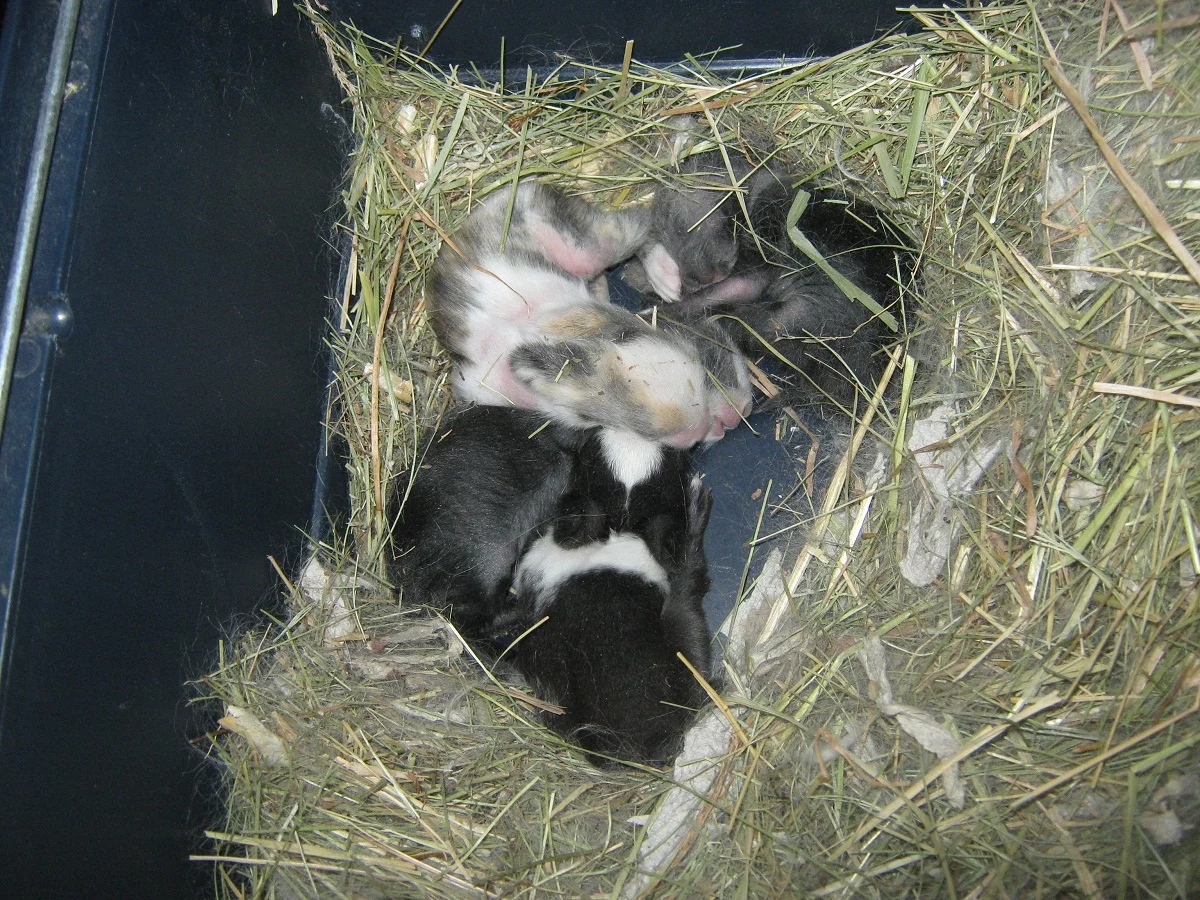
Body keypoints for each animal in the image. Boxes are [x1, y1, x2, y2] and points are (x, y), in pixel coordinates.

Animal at [425, 179, 751, 446]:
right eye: (709, 357)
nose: (740, 415)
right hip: (583, 248)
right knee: (639, 223)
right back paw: (664, 278)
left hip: (587, 249)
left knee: (641, 219)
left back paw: (665, 278)